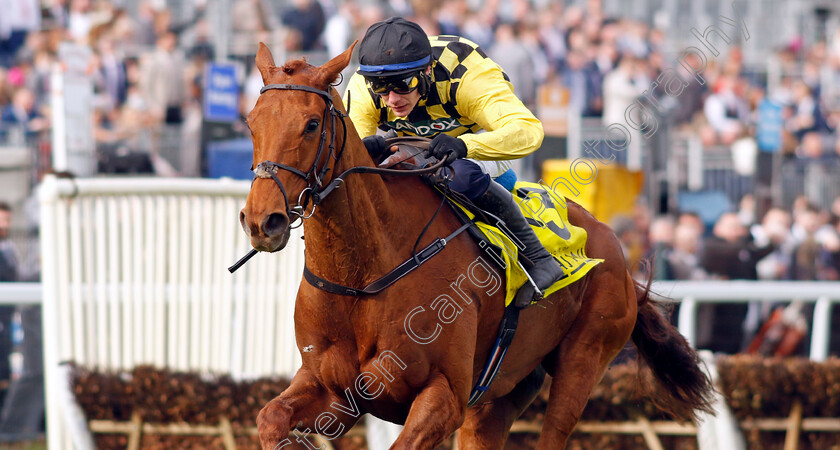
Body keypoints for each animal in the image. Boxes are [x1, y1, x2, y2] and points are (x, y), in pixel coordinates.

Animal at [238, 40, 716, 448]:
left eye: (311, 124)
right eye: (251, 123)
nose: (263, 221)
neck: (362, 276)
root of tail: (613, 245)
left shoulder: (444, 396)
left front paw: (446, 146)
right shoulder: (333, 389)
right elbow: (269, 418)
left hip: (585, 357)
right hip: (499, 394)